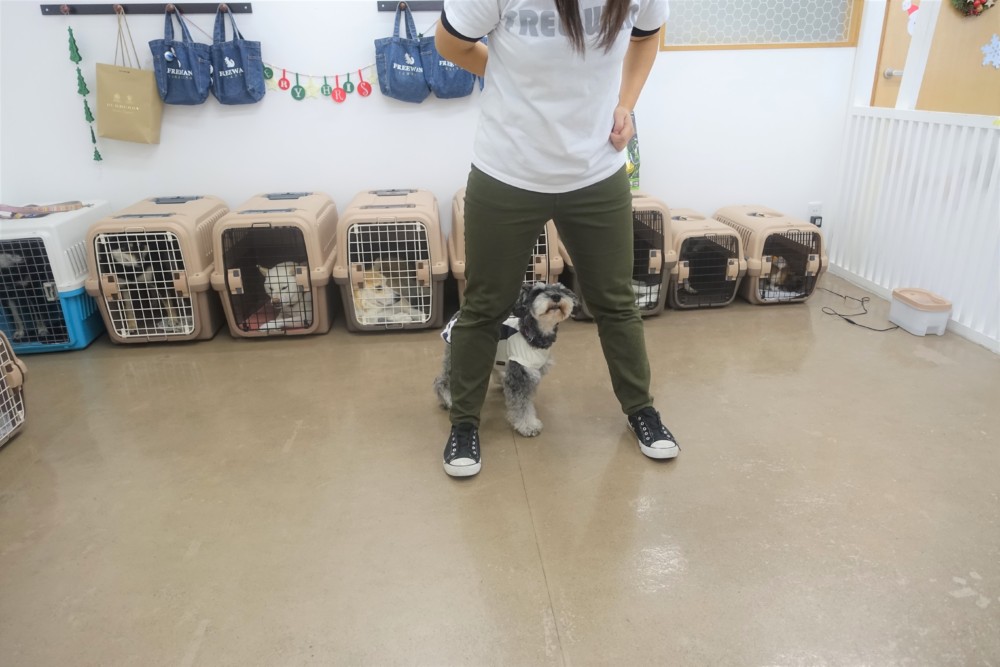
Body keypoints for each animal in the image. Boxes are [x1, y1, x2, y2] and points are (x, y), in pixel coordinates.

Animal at [433, 282, 577, 437]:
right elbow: (521, 405)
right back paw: (448, 400)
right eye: (537, 291)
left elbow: (527, 399)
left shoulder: (532, 373)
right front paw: (528, 425)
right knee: (442, 380)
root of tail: (459, 314)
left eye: (562, 290)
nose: (556, 296)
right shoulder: (520, 376)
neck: (531, 334)